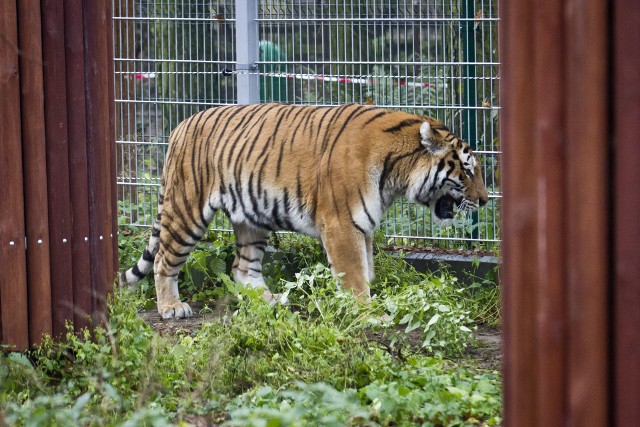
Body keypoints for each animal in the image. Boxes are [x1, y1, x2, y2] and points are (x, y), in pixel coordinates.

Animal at [121, 103, 490, 318]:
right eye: (467, 170)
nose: (486, 200)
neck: (396, 173)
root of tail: (181, 125)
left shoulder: (364, 225)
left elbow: (366, 270)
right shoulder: (342, 224)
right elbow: (354, 276)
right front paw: (367, 312)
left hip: (252, 217)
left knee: (242, 267)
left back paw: (268, 300)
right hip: (187, 210)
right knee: (164, 260)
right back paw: (171, 307)